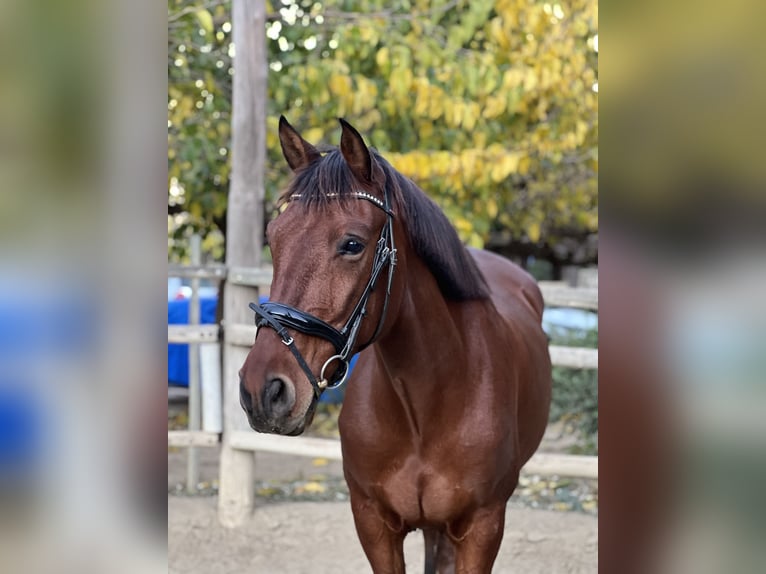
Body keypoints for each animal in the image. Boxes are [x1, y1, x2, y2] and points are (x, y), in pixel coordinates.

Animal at [240, 118, 552, 574]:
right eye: (272, 238)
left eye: (352, 244)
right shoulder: (373, 524)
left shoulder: (483, 528)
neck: (427, 403)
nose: (262, 391)